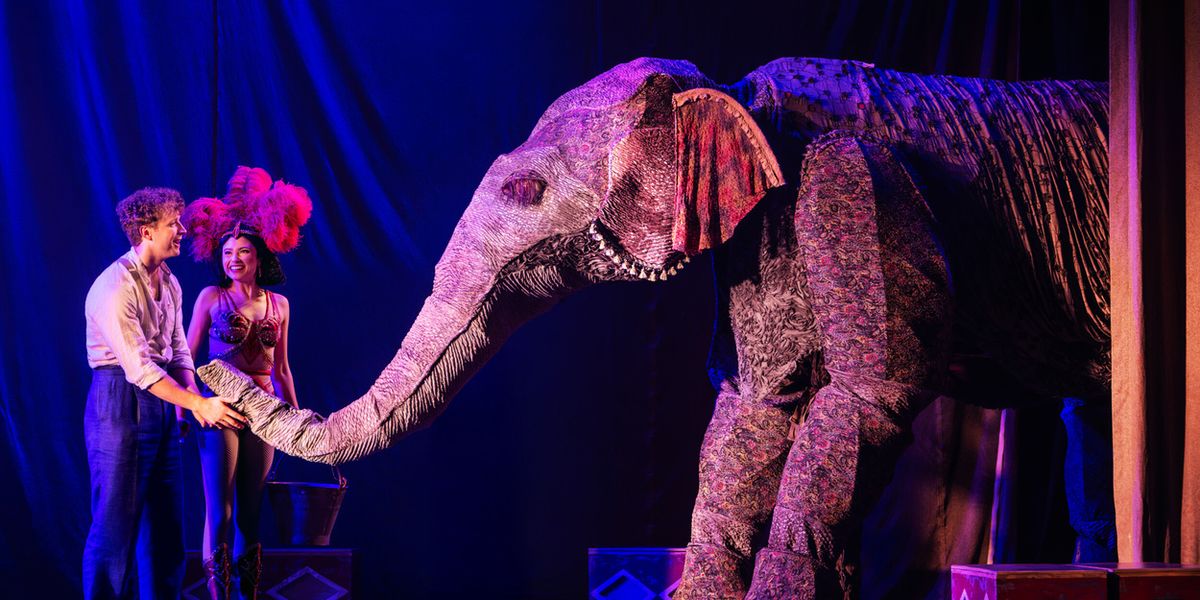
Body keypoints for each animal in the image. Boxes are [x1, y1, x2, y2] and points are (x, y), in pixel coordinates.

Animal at [198, 57, 1109, 598]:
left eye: (526, 192)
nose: (213, 375)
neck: (737, 98)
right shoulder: (755, 236)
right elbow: (758, 402)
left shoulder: (853, 181)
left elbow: (867, 394)